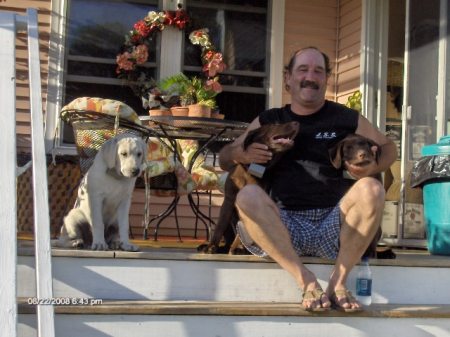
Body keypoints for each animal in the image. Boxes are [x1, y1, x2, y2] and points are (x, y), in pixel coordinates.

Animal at [197, 119, 298, 253]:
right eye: (275, 124)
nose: (297, 123)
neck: (252, 168)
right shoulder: (229, 200)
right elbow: (220, 226)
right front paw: (211, 246)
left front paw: (239, 247)